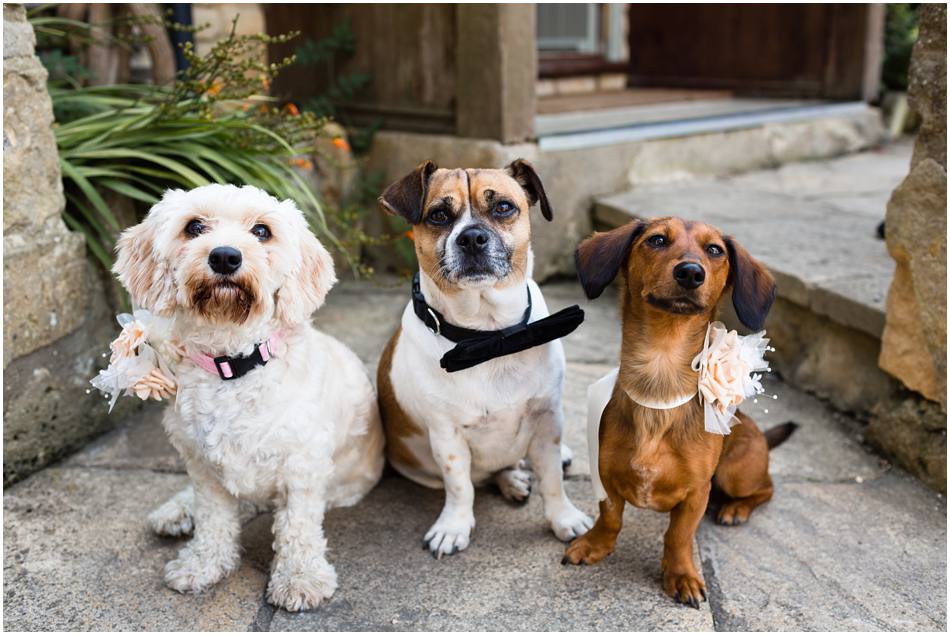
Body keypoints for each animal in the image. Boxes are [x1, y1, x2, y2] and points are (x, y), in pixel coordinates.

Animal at [116, 184, 386, 612]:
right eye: (194, 227)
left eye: (262, 231)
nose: (225, 256)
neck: (235, 363)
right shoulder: (203, 468)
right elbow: (213, 519)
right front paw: (204, 563)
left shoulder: (302, 469)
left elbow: (297, 528)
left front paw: (300, 578)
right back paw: (177, 511)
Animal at [376, 161, 592, 560]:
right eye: (439, 215)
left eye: (503, 207)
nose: (472, 237)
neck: (490, 338)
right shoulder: (447, 437)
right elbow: (460, 486)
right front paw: (454, 526)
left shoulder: (547, 422)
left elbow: (552, 479)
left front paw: (564, 518)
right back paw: (511, 481)